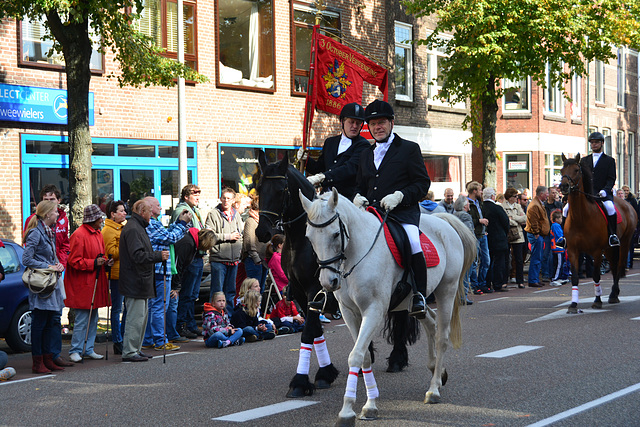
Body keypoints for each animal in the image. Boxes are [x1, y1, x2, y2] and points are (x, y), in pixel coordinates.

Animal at [300, 189, 476, 426]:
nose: (329, 282)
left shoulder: (374, 310)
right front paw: (370, 405)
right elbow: (364, 355)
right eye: (309, 237)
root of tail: (443, 220)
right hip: (414, 301)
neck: (357, 254)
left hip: (446, 291)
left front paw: (348, 411)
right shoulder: (349, 312)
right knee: (430, 323)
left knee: (441, 337)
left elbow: (355, 355)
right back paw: (437, 374)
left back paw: (433, 390)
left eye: (336, 234)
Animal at [556, 154, 636, 314]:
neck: (581, 217)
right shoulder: (573, 250)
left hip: (624, 243)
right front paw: (573, 304)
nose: (563, 186)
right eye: (561, 170)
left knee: (619, 266)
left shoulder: (597, 251)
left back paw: (613, 295)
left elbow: (596, 275)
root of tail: (627, 204)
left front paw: (597, 301)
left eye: (576, 170)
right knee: (613, 266)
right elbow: (575, 277)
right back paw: (613, 294)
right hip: (609, 249)